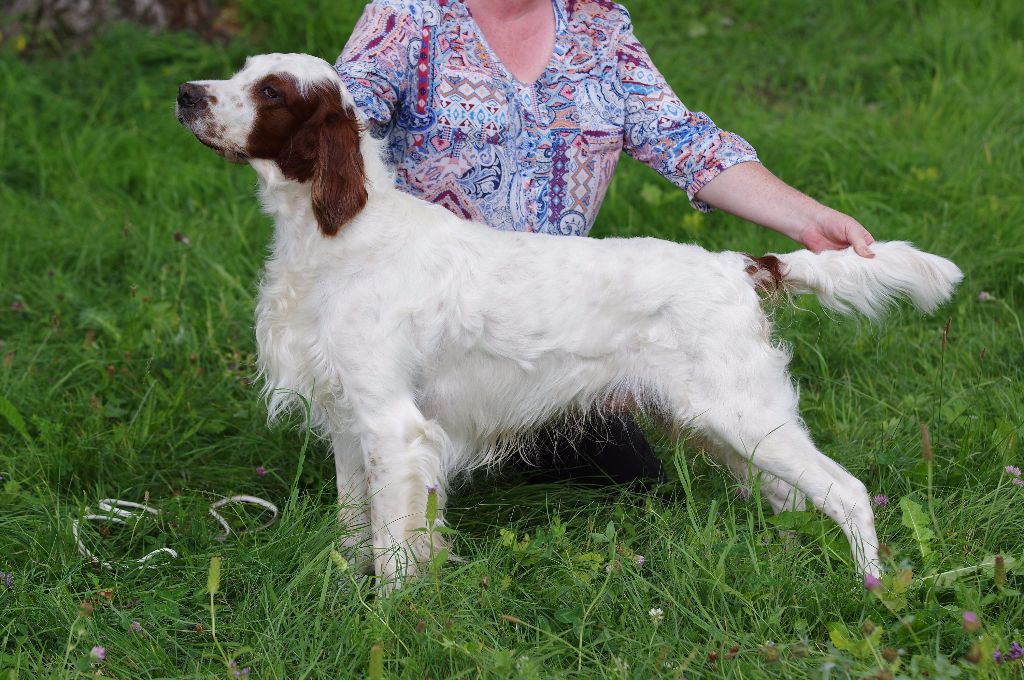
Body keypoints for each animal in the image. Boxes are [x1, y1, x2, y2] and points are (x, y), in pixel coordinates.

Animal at [176, 51, 958, 585]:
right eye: (242, 72)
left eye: (271, 91)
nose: (186, 94)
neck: (336, 237)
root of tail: (740, 266)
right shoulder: (349, 423)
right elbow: (353, 530)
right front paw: (344, 590)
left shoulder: (395, 429)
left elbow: (397, 552)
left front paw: (390, 621)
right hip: (724, 426)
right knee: (792, 497)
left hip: (747, 415)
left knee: (847, 491)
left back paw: (870, 586)